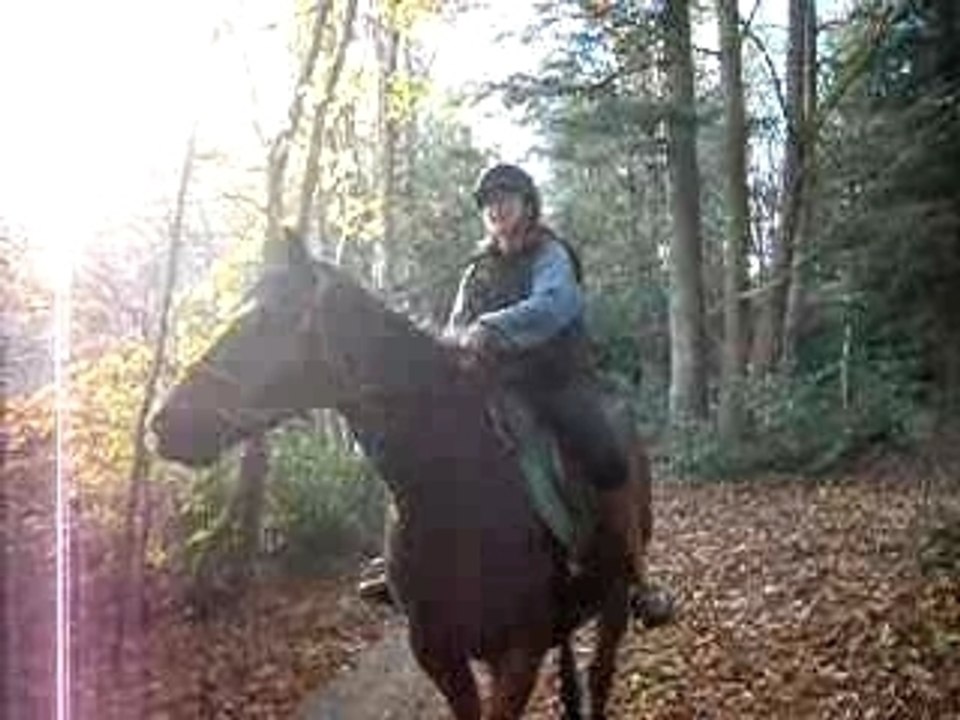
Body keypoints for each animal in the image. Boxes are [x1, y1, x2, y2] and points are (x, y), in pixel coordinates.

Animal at [150, 232, 656, 719]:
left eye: (269, 320)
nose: (164, 422)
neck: (455, 488)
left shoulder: (518, 654)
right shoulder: (439, 653)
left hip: (613, 597)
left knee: (600, 675)